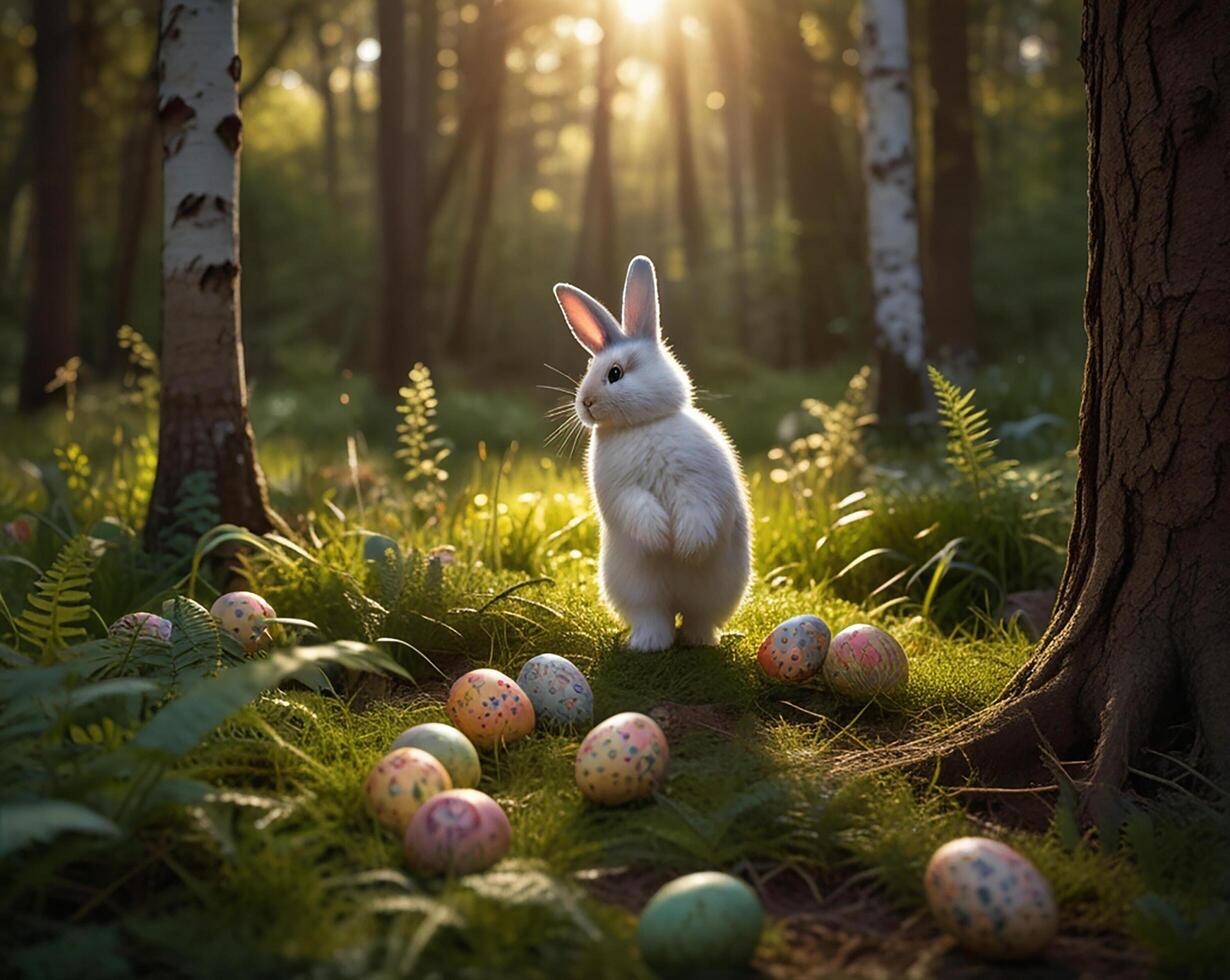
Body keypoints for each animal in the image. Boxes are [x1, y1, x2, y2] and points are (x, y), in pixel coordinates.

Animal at [555, 258, 747, 649]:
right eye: (588, 370)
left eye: (615, 373)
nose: (585, 403)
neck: (642, 425)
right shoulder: (623, 491)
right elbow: (637, 508)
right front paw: (661, 538)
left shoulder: (702, 483)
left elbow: (698, 508)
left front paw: (686, 547)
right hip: (634, 589)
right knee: (654, 617)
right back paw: (648, 644)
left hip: (718, 591)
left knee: (699, 619)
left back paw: (699, 642)